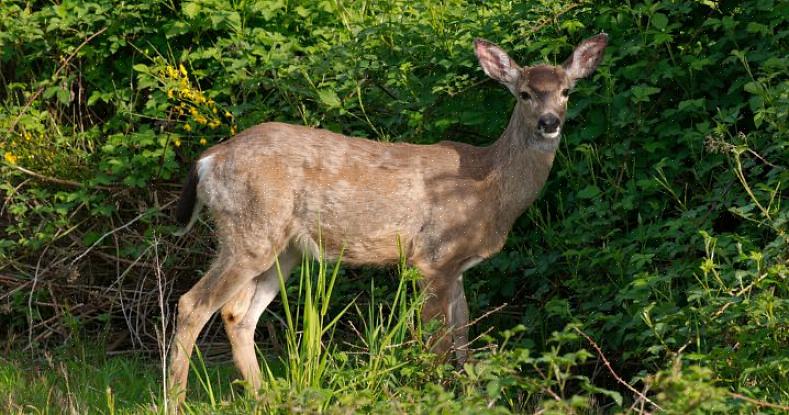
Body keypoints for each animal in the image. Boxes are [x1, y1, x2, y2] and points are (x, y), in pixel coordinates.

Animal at [169, 34, 608, 404]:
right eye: (524, 93)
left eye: (566, 91)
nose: (549, 122)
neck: (489, 187)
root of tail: (208, 160)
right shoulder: (431, 257)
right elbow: (437, 344)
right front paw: (434, 396)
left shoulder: (457, 266)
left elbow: (463, 338)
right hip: (249, 232)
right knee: (193, 304)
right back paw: (175, 400)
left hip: (283, 249)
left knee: (237, 314)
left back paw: (264, 398)